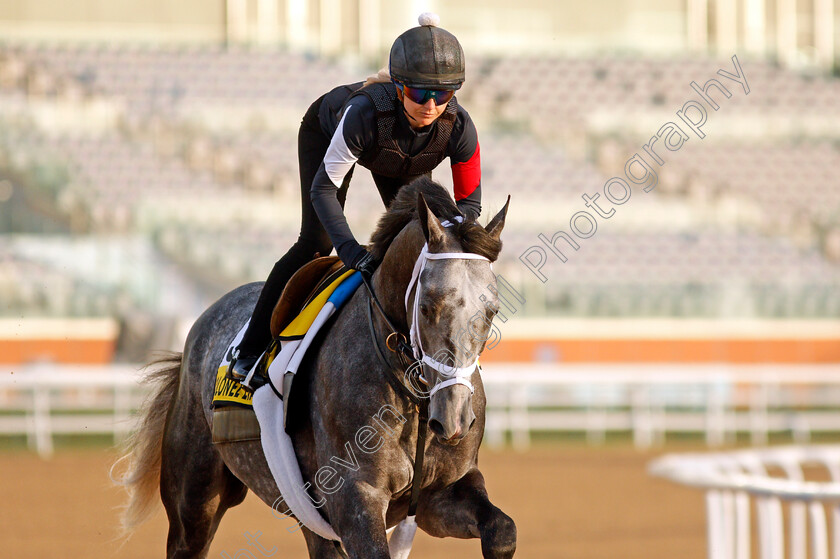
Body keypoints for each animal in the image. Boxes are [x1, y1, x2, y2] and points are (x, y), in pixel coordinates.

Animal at [114, 180, 516, 559]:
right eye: (428, 306)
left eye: (493, 310)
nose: (454, 419)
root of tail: (203, 320)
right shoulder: (354, 500)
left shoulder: (439, 494)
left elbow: (502, 531)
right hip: (194, 501)